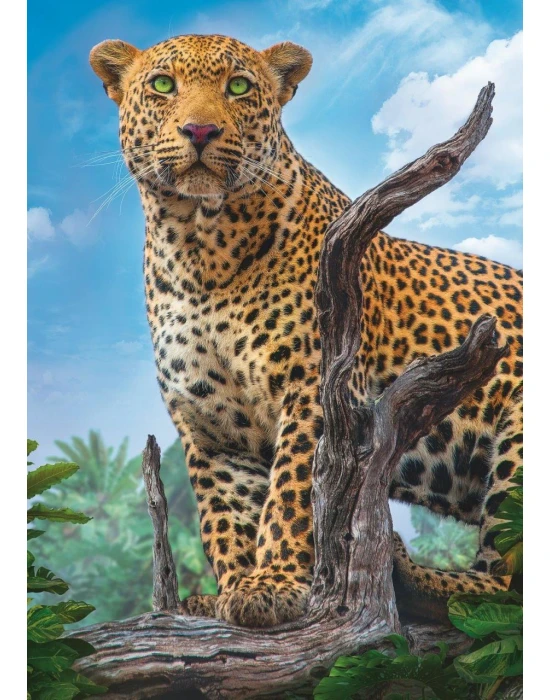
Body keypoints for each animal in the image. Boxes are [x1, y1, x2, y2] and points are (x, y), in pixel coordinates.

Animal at [90, 33, 523, 628]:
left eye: (238, 86)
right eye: (162, 85)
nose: (199, 131)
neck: (198, 247)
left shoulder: (317, 389)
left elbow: (295, 492)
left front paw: (274, 582)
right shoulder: (209, 425)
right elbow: (225, 516)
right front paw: (232, 590)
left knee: (506, 584)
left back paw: (408, 573)